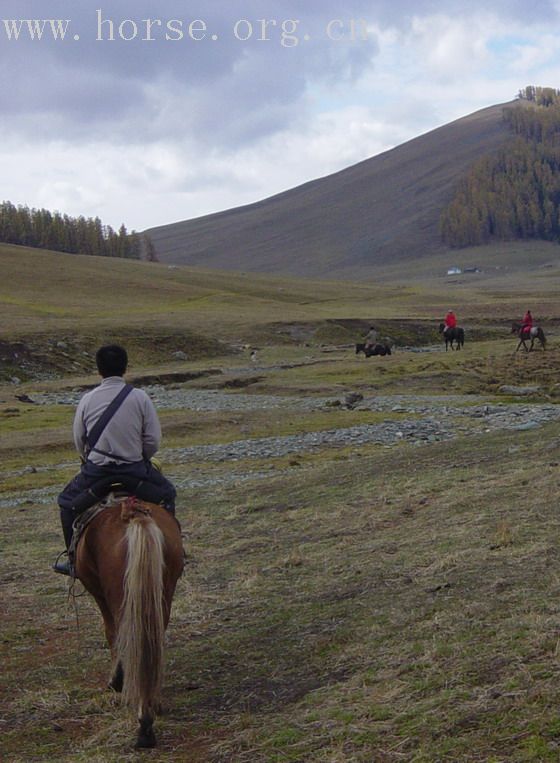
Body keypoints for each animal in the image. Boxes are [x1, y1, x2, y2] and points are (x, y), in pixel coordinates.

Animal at [74, 496, 184, 752]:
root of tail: (134, 513)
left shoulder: (101, 595)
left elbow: (111, 634)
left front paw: (116, 680)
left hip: (120, 597)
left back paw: (144, 725)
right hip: (162, 594)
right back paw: (152, 704)